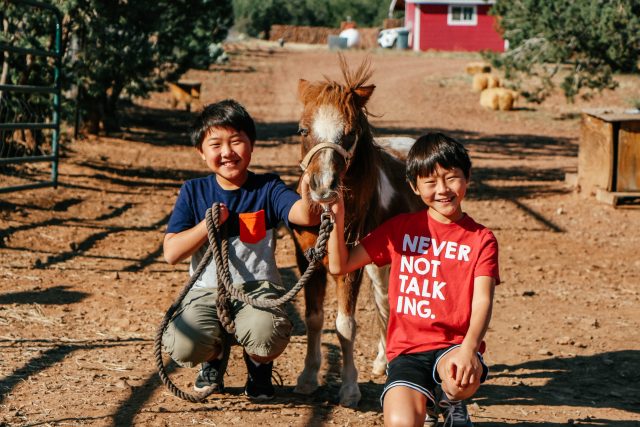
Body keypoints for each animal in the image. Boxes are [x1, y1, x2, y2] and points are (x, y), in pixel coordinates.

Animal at [292, 56, 422, 408]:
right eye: (303, 130)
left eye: (349, 133)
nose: (322, 187)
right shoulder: (308, 262)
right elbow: (314, 318)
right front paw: (307, 378)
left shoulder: (349, 269)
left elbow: (345, 325)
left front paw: (350, 388)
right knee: (383, 302)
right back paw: (380, 361)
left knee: (390, 302)